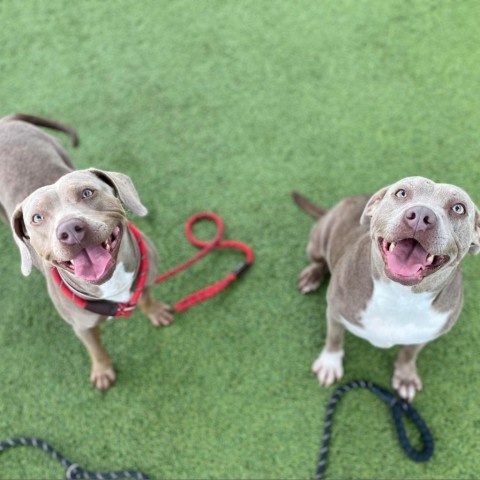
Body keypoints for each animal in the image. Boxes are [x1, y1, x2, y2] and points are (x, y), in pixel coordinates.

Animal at [0, 115, 172, 390]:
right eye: (37, 218)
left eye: (87, 193)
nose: (70, 229)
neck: (112, 284)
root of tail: (6, 120)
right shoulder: (82, 327)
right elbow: (95, 348)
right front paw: (102, 370)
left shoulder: (146, 277)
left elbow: (145, 295)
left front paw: (154, 311)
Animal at [292, 177, 480, 402]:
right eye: (401, 193)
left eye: (459, 208)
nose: (421, 216)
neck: (399, 296)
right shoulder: (335, 312)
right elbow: (334, 337)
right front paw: (330, 363)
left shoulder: (428, 332)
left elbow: (409, 352)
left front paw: (405, 376)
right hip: (318, 240)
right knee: (319, 259)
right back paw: (312, 275)